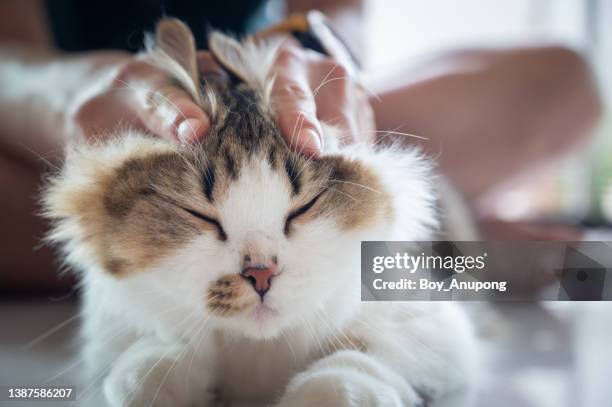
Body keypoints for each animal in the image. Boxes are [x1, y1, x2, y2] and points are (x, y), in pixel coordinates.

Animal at [43, 18, 478, 407]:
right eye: (200, 215)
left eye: (302, 209)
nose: (261, 274)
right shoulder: (111, 330)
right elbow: (144, 366)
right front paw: (161, 379)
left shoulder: (431, 323)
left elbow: (358, 361)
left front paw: (323, 393)